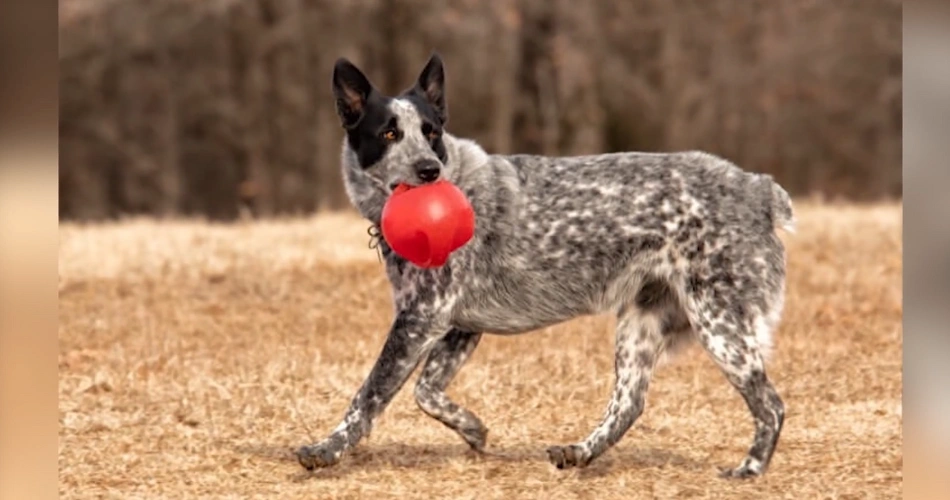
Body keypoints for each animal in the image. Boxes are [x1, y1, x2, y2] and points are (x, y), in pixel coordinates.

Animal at [298, 52, 796, 478]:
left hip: (720, 326)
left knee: (770, 404)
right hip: (642, 325)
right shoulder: (455, 325)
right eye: (388, 133)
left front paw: (327, 449)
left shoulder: (421, 318)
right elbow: (426, 392)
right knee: (629, 403)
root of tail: (757, 187)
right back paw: (579, 452)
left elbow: (370, 394)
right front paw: (473, 429)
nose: (428, 170)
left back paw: (750, 470)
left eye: (431, 131)